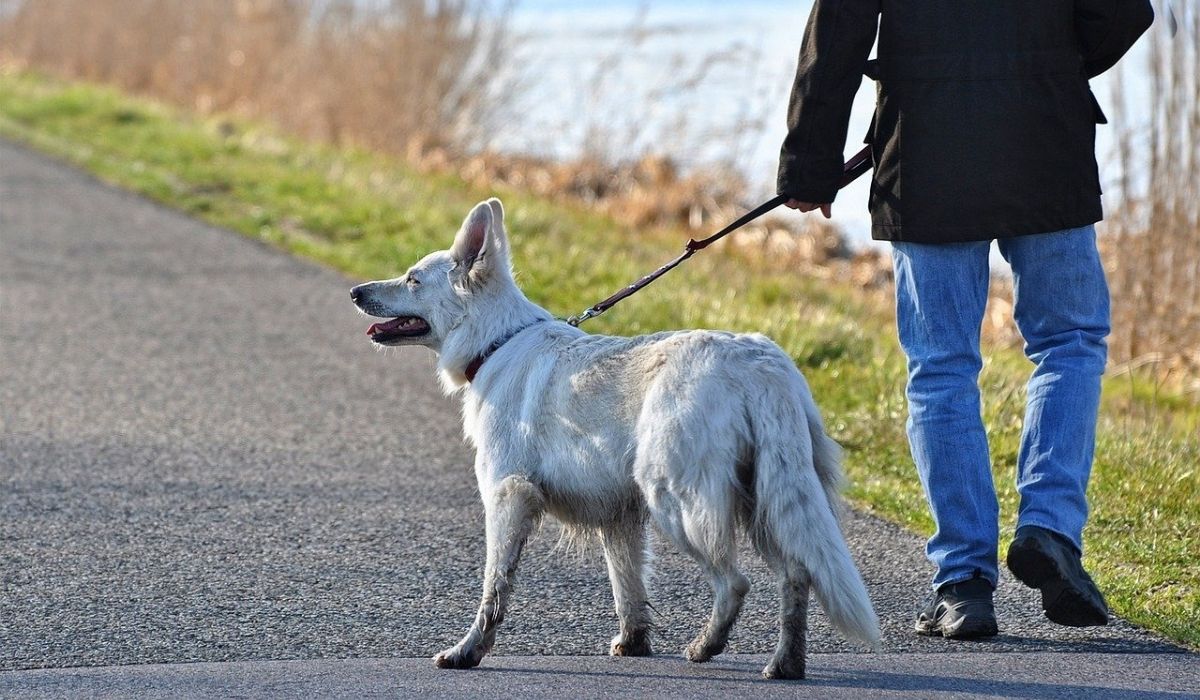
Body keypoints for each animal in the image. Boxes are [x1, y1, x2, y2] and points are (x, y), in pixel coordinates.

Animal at [350, 196, 883, 677]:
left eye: (413, 279)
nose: (355, 291)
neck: (496, 342)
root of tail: (761, 364)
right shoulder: (619, 517)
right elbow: (628, 588)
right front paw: (634, 643)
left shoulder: (507, 497)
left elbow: (494, 589)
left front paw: (468, 652)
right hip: (766, 501)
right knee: (796, 575)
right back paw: (785, 663)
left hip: (678, 501)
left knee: (735, 582)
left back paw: (706, 646)